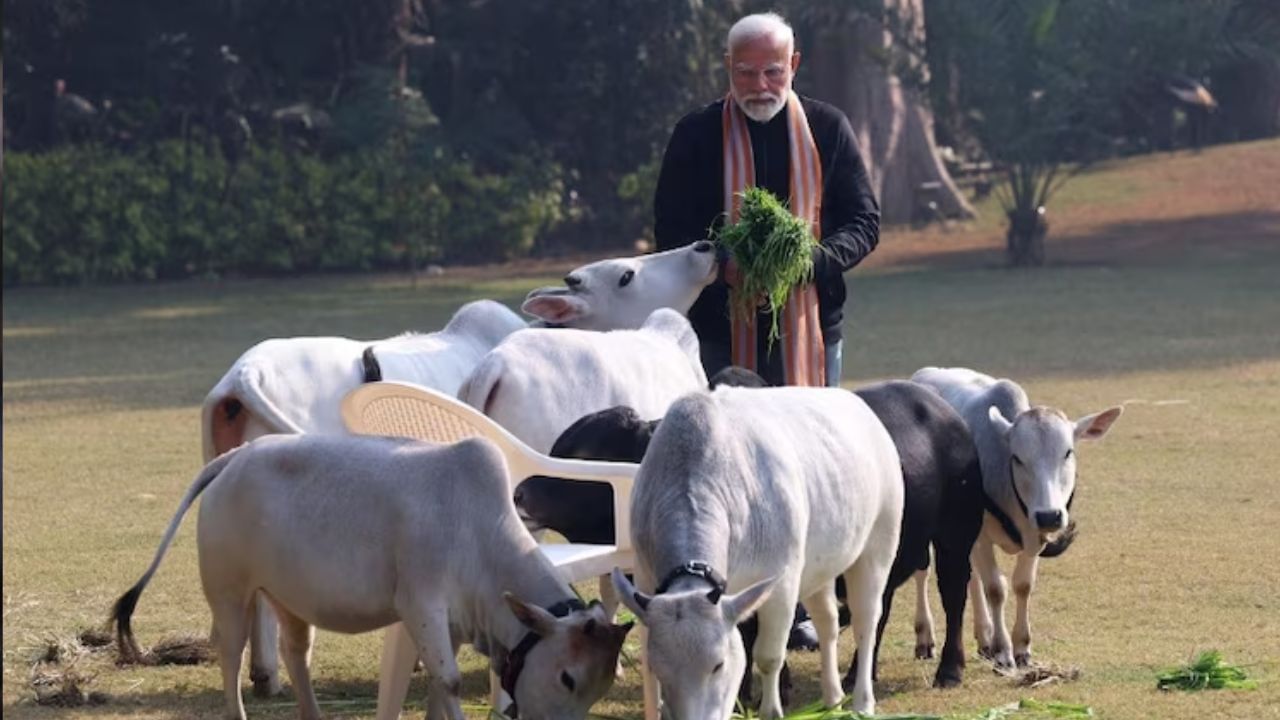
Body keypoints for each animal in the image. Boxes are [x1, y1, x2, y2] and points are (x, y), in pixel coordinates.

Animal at [112, 430, 632, 717]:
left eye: (601, 687)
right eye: (567, 678)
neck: (479, 531)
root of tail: (236, 456)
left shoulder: (452, 623)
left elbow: (438, 690)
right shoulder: (420, 604)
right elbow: (449, 682)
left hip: (287, 597)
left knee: (296, 652)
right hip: (230, 593)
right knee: (232, 656)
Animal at [611, 386, 906, 717]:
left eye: (718, 665)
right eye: (660, 669)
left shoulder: (783, 583)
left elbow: (768, 656)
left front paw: (770, 710)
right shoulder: (645, 577)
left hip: (880, 541)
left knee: (865, 621)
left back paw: (862, 702)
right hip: (819, 566)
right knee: (827, 621)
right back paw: (832, 698)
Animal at [911, 366, 1121, 671]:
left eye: (1068, 453)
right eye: (1018, 458)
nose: (1050, 515)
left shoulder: (1033, 536)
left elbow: (1022, 585)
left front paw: (1021, 647)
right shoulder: (982, 536)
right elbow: (996, 589)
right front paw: (1003, 652)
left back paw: (983, 637)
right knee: (923, 572)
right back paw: (925, 638)